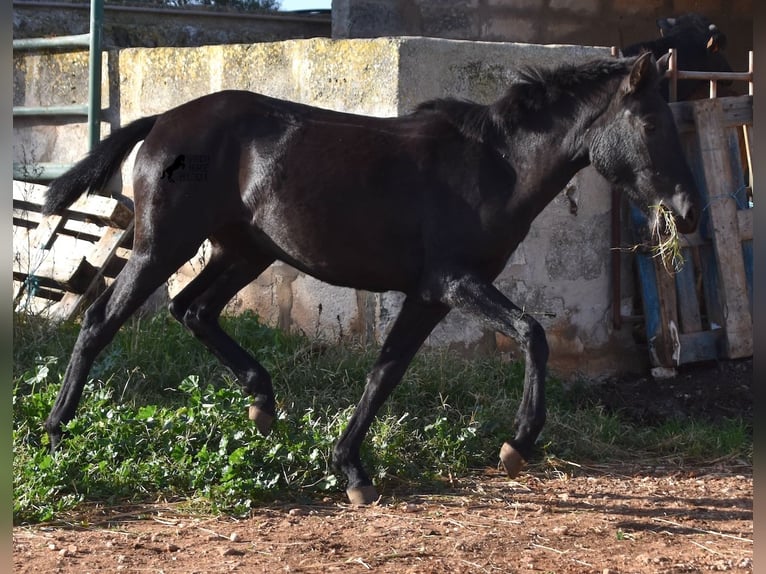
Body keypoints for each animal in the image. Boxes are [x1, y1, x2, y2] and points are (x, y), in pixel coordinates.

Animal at [42, 53, 704, 504]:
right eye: (650, 125)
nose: (689, 211)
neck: (494, 166)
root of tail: (162, 122)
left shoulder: (428, 296)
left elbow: (386, 370)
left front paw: (351, 469)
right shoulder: (453, 283)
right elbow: (532, 334)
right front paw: (517, 445)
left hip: (245, 251)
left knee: (193, 310)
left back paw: (262, 406)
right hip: (162, 247)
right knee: (100, 320)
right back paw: (55, 431)